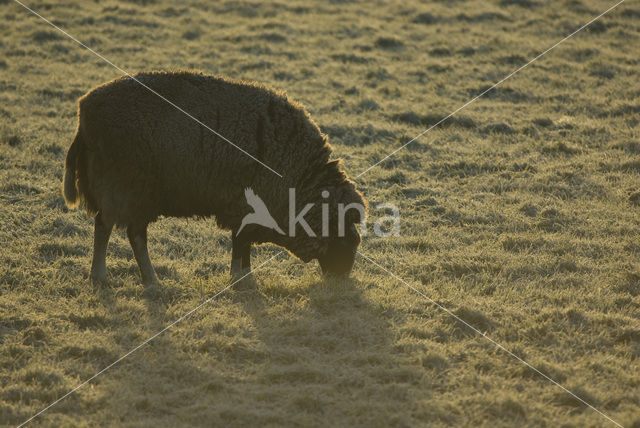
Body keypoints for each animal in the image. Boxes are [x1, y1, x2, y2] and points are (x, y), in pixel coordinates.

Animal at [63, 72, 370, 290]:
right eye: (342, 232)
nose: (343, 276)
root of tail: (84, 112)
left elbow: (242, 245)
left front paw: (244, 277)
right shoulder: (245, 208)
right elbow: (240, 244)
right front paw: (241, 279)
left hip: (135, 193)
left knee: (126, 232)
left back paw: (146, 279)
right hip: (124, 187)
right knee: (110, 228)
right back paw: (106, 276)